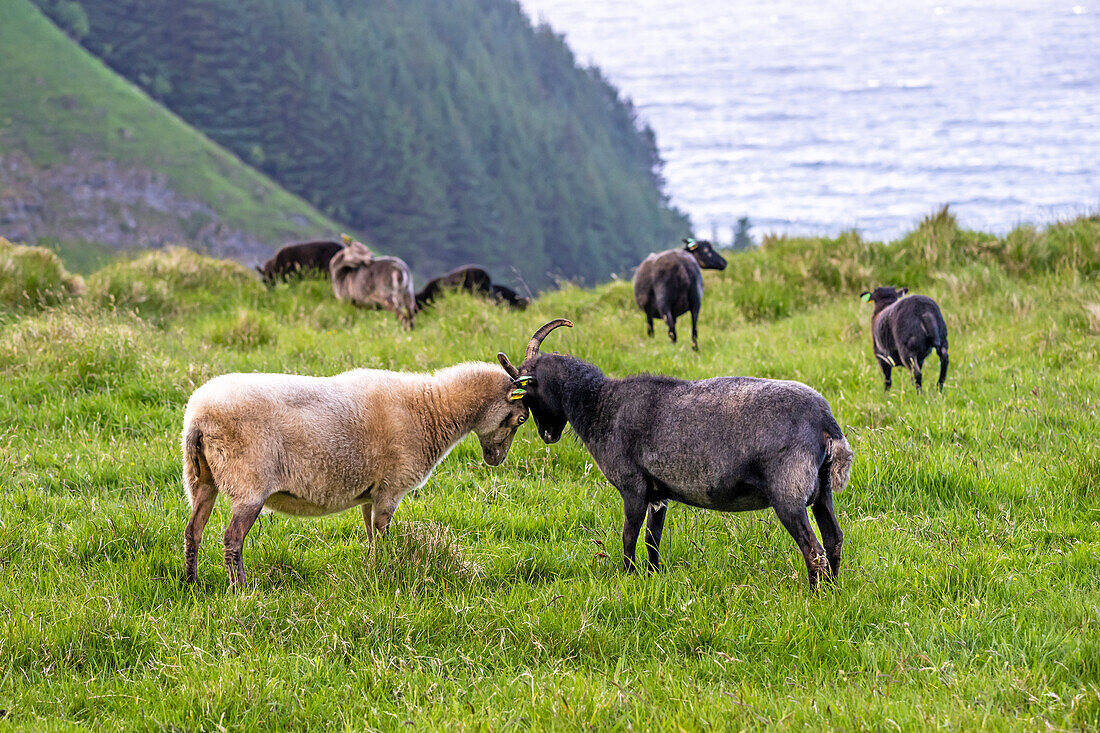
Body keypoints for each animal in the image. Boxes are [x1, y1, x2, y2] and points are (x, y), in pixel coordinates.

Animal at [501, 319, 858, 589]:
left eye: (528, 393)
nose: (547, 436)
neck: (600, 405)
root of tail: (825, 422)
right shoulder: (659, 493)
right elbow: (652, 539)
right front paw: (652, 576)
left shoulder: (633, 487)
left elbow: (629, 536)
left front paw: (629, 578)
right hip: (822, 490)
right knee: (834, 540)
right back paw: (833, 592)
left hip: (789, 493)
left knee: (814, 551)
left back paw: (815, 596)